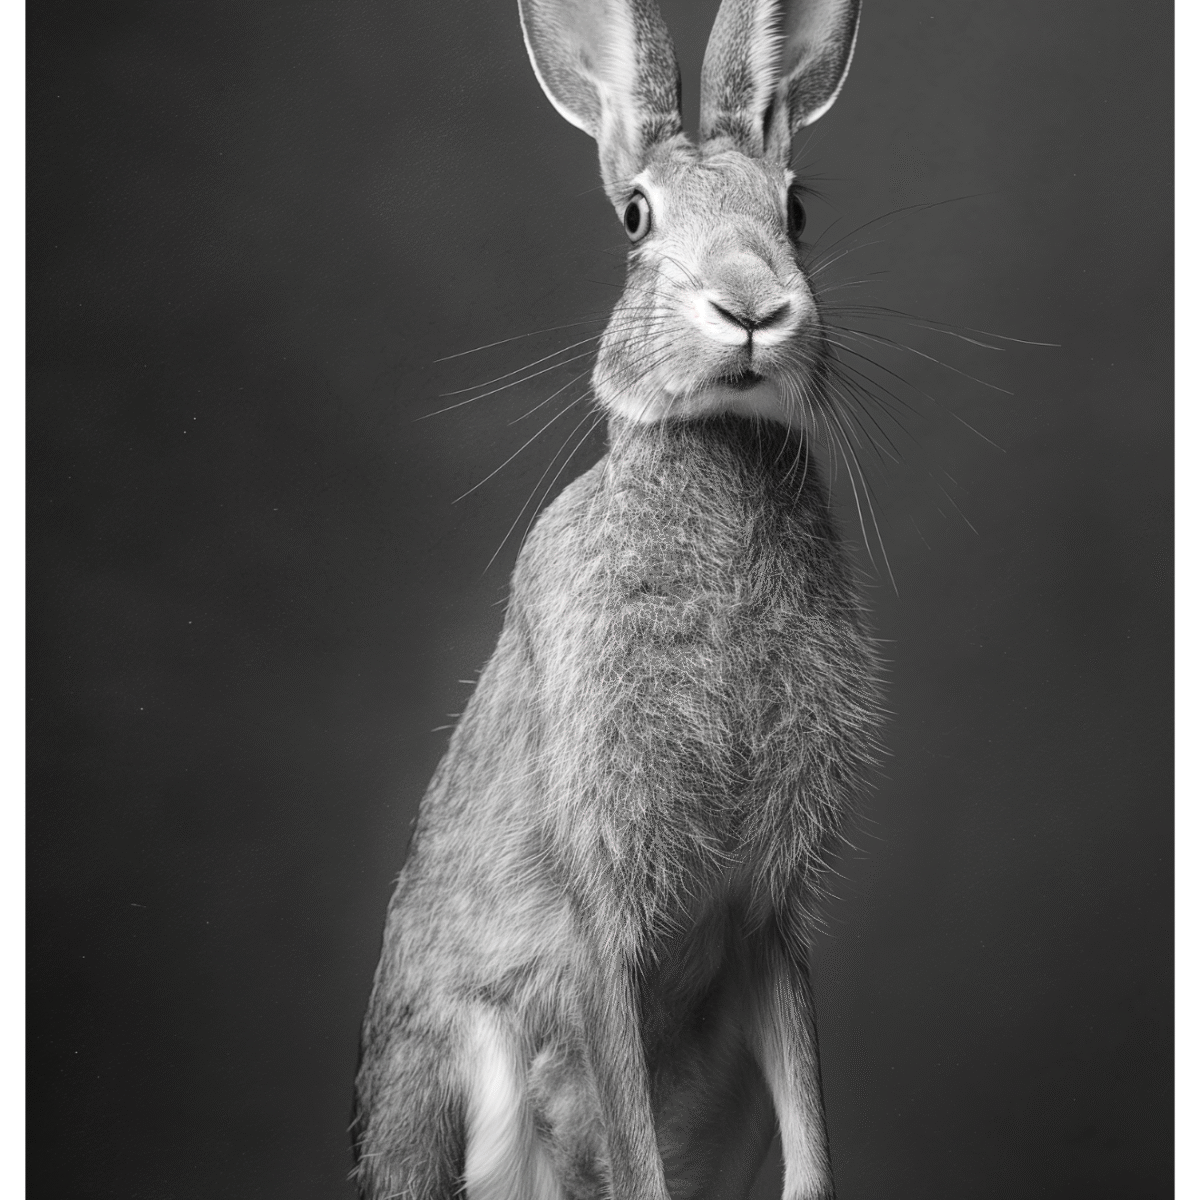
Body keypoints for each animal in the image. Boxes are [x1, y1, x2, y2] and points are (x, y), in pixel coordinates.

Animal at [352, 1, 880, 1197]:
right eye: (637, 217)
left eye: (795, 210)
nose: (752, 306)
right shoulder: (600, 909)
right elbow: (634, 1141)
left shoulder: (763, 919)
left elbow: (811, 1116)